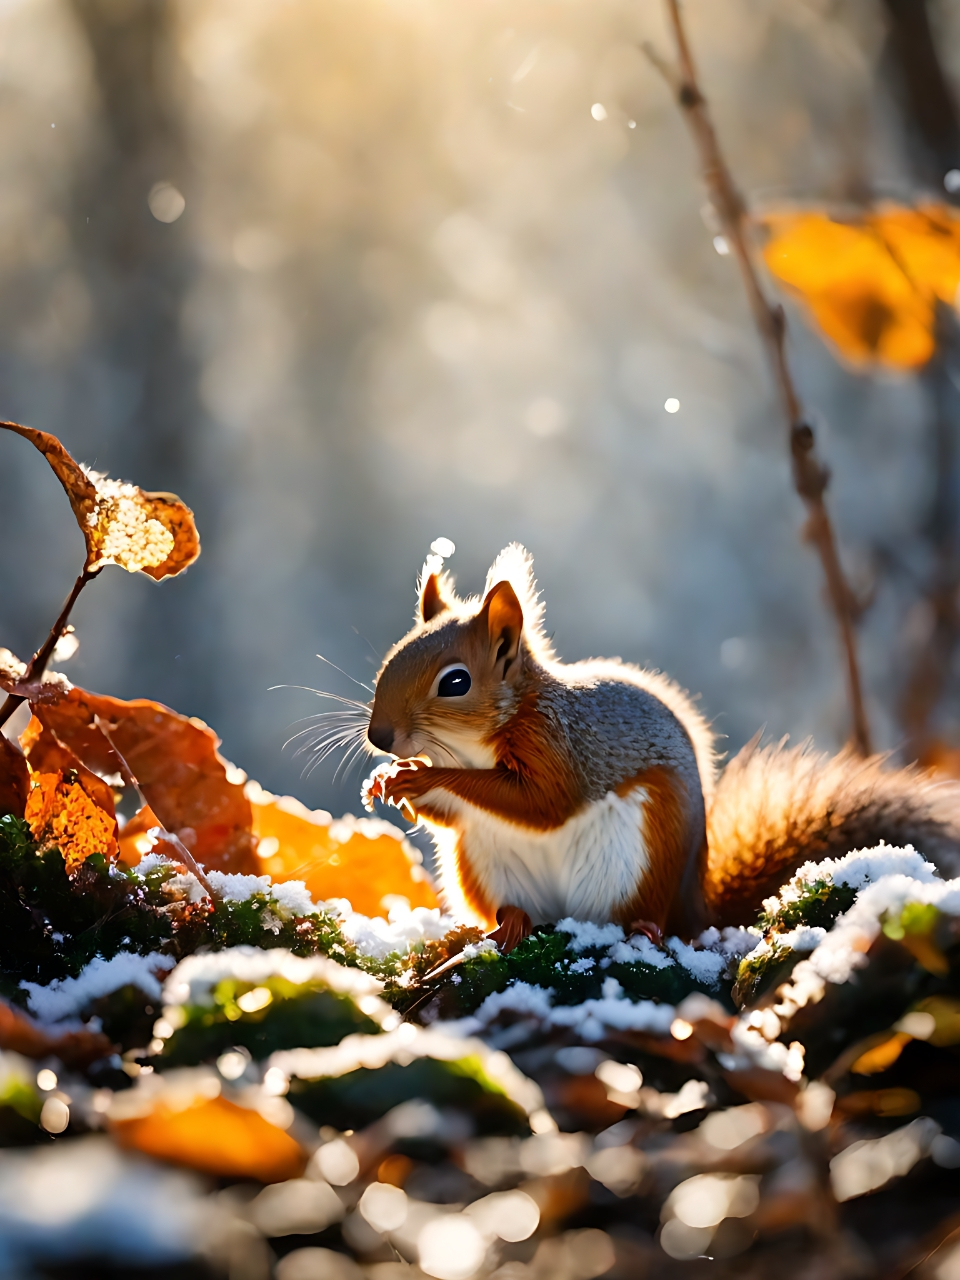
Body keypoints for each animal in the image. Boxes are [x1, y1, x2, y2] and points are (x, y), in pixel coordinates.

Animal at [363, 542, 960, 952]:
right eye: (393, 654)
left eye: (456, 682)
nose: (380, 739)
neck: (470, 748)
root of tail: (693, 908)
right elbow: (454, 813)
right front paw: (392, 780)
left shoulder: (562, 748)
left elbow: (542, 803)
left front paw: (420, 775)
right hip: (484, 864)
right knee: (515, 907)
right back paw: (512, 923)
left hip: (646, 854)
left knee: (638, 917)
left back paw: (643, 930)